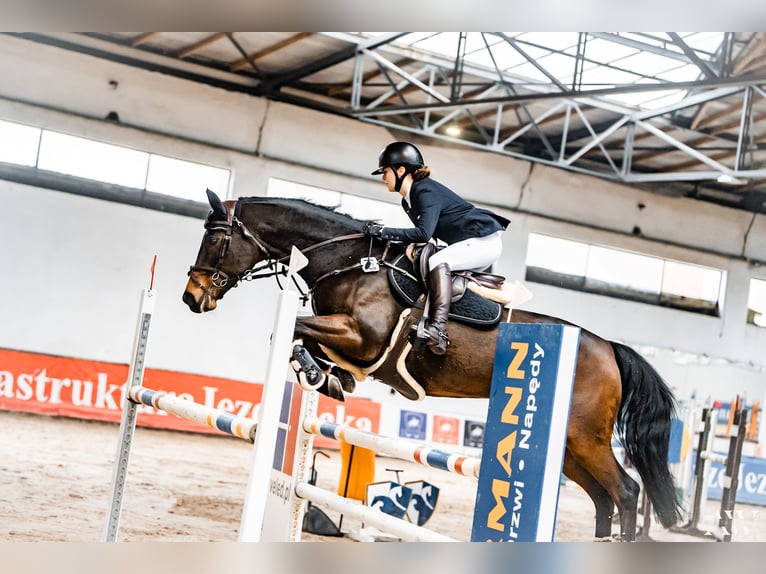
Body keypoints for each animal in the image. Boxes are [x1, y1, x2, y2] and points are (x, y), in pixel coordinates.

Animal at [182, 190, 684, 544]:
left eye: (215, 238)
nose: (192, 297)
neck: (348, 263)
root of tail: (609, 348)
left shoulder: (362, 337)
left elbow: (293, 332)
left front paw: (317, 372)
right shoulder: (350, 339)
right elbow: (300, 336)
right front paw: (331, 377)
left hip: (586, 437)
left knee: (626, 492)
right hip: (568, 446)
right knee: (603, 498)